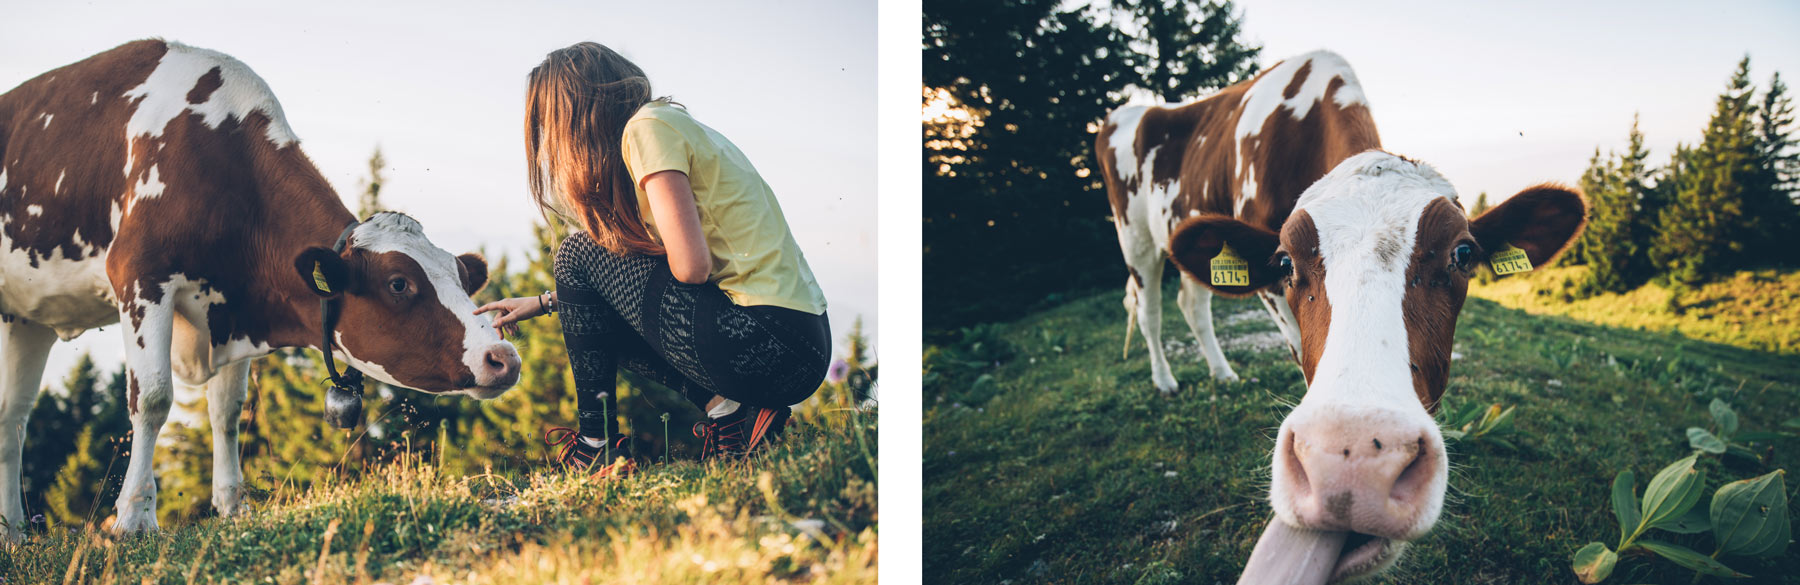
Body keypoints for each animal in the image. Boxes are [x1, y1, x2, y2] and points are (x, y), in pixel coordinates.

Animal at [0, 38, 522, 536]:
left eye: (462, 277)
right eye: (399, 283)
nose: (504, 357)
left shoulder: (233, 307)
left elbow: (227, 411)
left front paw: (234, 509)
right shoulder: (141, 276)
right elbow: (151, 398)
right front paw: (133, 518)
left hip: (26, 320)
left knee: (12, 418)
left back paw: (16, 534)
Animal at [1087, 51, 1584, 579]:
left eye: (1463, 253)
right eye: (1285, 262)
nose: (1354, 466)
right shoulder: (1271, 293)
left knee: (1192, 302)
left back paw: (1222, 373)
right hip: (1134, 237)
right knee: (1150, 311)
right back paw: (1165, 380)